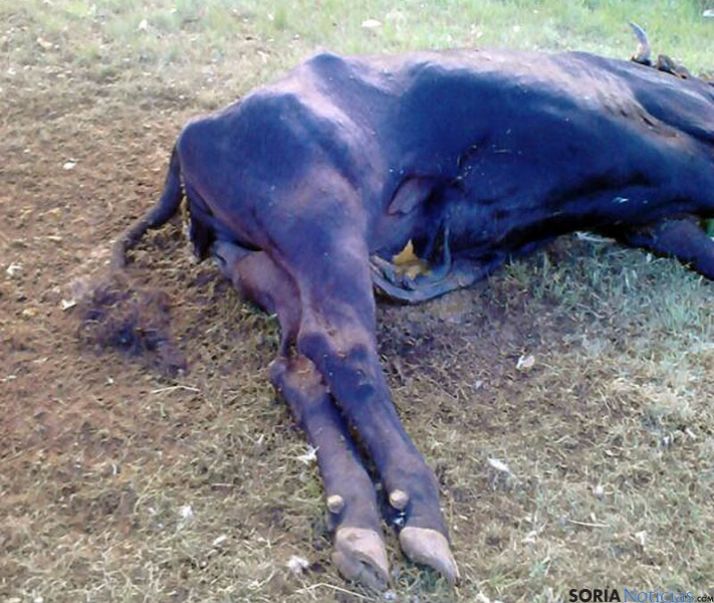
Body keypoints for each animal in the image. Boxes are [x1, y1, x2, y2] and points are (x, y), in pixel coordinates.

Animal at [112, 28, 713, 589]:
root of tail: (195, 133)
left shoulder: (650, 218)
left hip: (265, 266)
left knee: (296, 365)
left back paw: (354, 519)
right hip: (321, 219)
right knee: (340, 345)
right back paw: (417, 510)